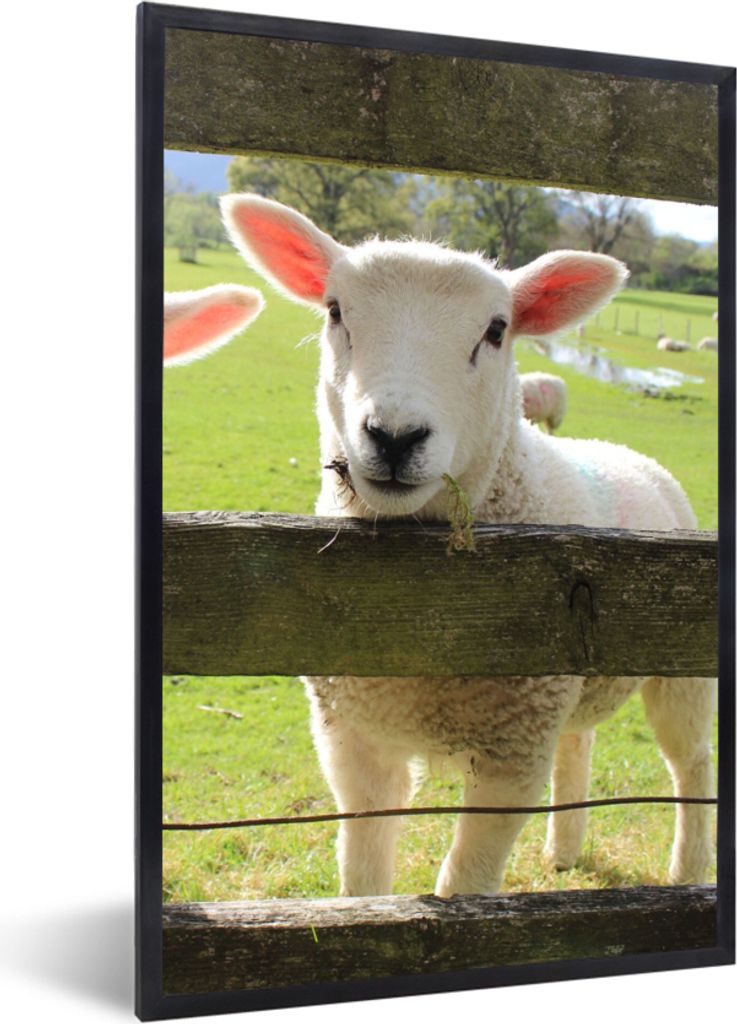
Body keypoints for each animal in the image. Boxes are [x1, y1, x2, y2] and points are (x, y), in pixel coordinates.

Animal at [221, 193, 716, 898]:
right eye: (335, 311)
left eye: (497, 330)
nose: (395, 436)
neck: (436, 604)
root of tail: (630, 455)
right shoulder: (351, 740)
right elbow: (363, 877)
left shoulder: (513, 755)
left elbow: (465, 884)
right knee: (579, 743)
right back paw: (564, 852)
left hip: (684, 666)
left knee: (691, 763)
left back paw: (689, 870)